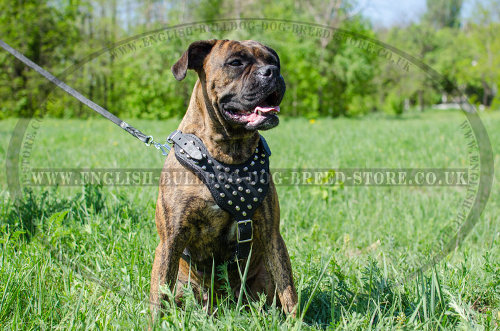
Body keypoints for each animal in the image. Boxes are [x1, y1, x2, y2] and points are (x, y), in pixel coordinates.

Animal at [148, 39, 296, 322]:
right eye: (235, 62)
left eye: (274, 60)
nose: (272, 71)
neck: (229, 152)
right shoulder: (170, 240)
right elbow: (158, 296)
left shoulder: (272, 234)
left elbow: (289, 291)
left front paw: (297, 323)